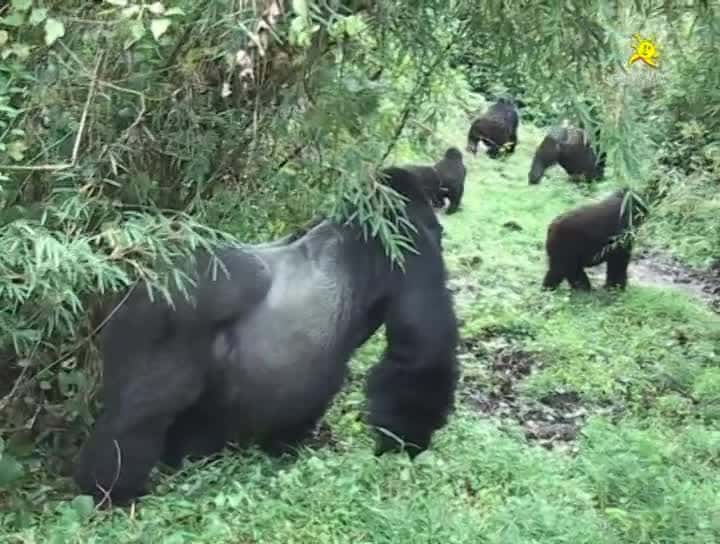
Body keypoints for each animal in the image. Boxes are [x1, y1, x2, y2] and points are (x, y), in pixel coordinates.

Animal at [74, 166, 462, 506]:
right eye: (435, 229)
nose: (443, 233)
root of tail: (145, 279)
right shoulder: (405, 242)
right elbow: (422, 352)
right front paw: (404, 446)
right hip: (170, 314)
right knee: (140, 414)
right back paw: (112, 490)